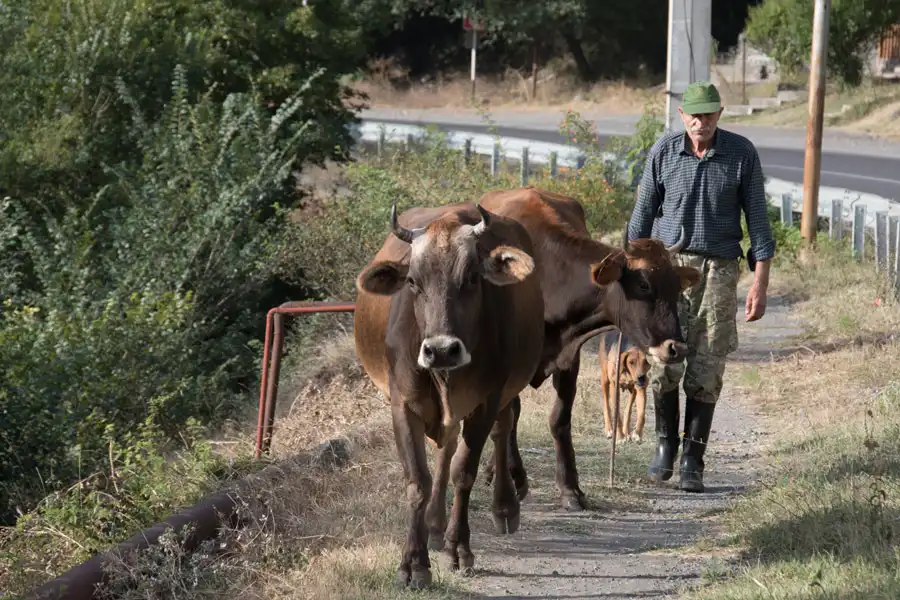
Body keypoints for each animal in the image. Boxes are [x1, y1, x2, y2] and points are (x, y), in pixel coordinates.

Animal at [353, 201, 546, 588]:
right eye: (413, 281)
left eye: (472, 277)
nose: (441, 350)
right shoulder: (403, 406)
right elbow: (418, 481)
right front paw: (414, 562)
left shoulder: (486, 402)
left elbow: (464, 473)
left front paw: (459, 549)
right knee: (447, 446)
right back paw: (434, 525)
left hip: (503, 395)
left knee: (501, 429)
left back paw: (503, 507)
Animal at [475, 187, 700, 511]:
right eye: (643, 284)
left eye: (675, 285)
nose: (676, 347)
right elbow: (511, 415)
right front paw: (516, 477)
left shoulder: (571, 358)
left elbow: (559, 419)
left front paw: (570, 489)